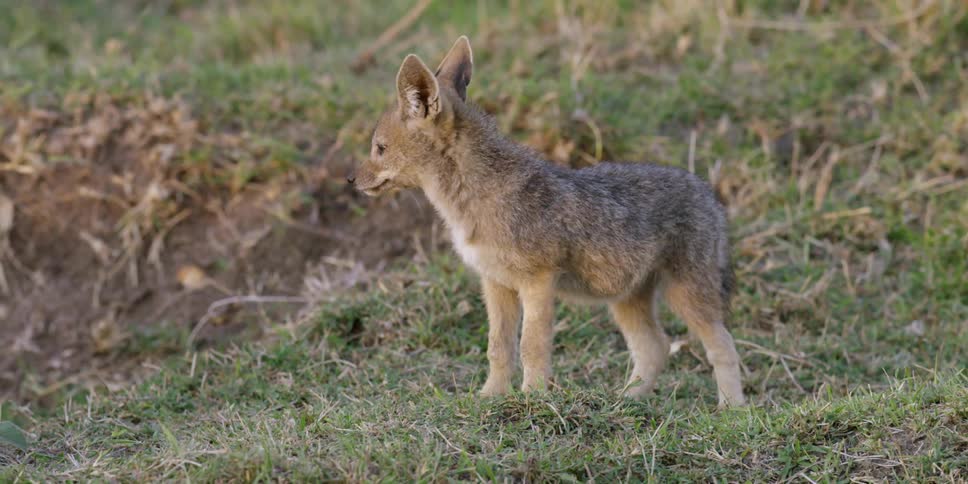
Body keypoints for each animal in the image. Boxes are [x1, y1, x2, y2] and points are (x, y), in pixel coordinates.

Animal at [349, 36, 746, 406]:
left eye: (379, 148)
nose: (351, 180)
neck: (472, 202)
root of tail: (709, 193)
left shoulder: (538, 282)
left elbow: (531, 346)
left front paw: (532, 397)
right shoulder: (495, 283)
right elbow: (498, 347)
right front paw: (491, 397)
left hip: (686, 297)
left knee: (723, 346)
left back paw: (731, 409)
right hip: (626, 300)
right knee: (656, 348)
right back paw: (624, 401)